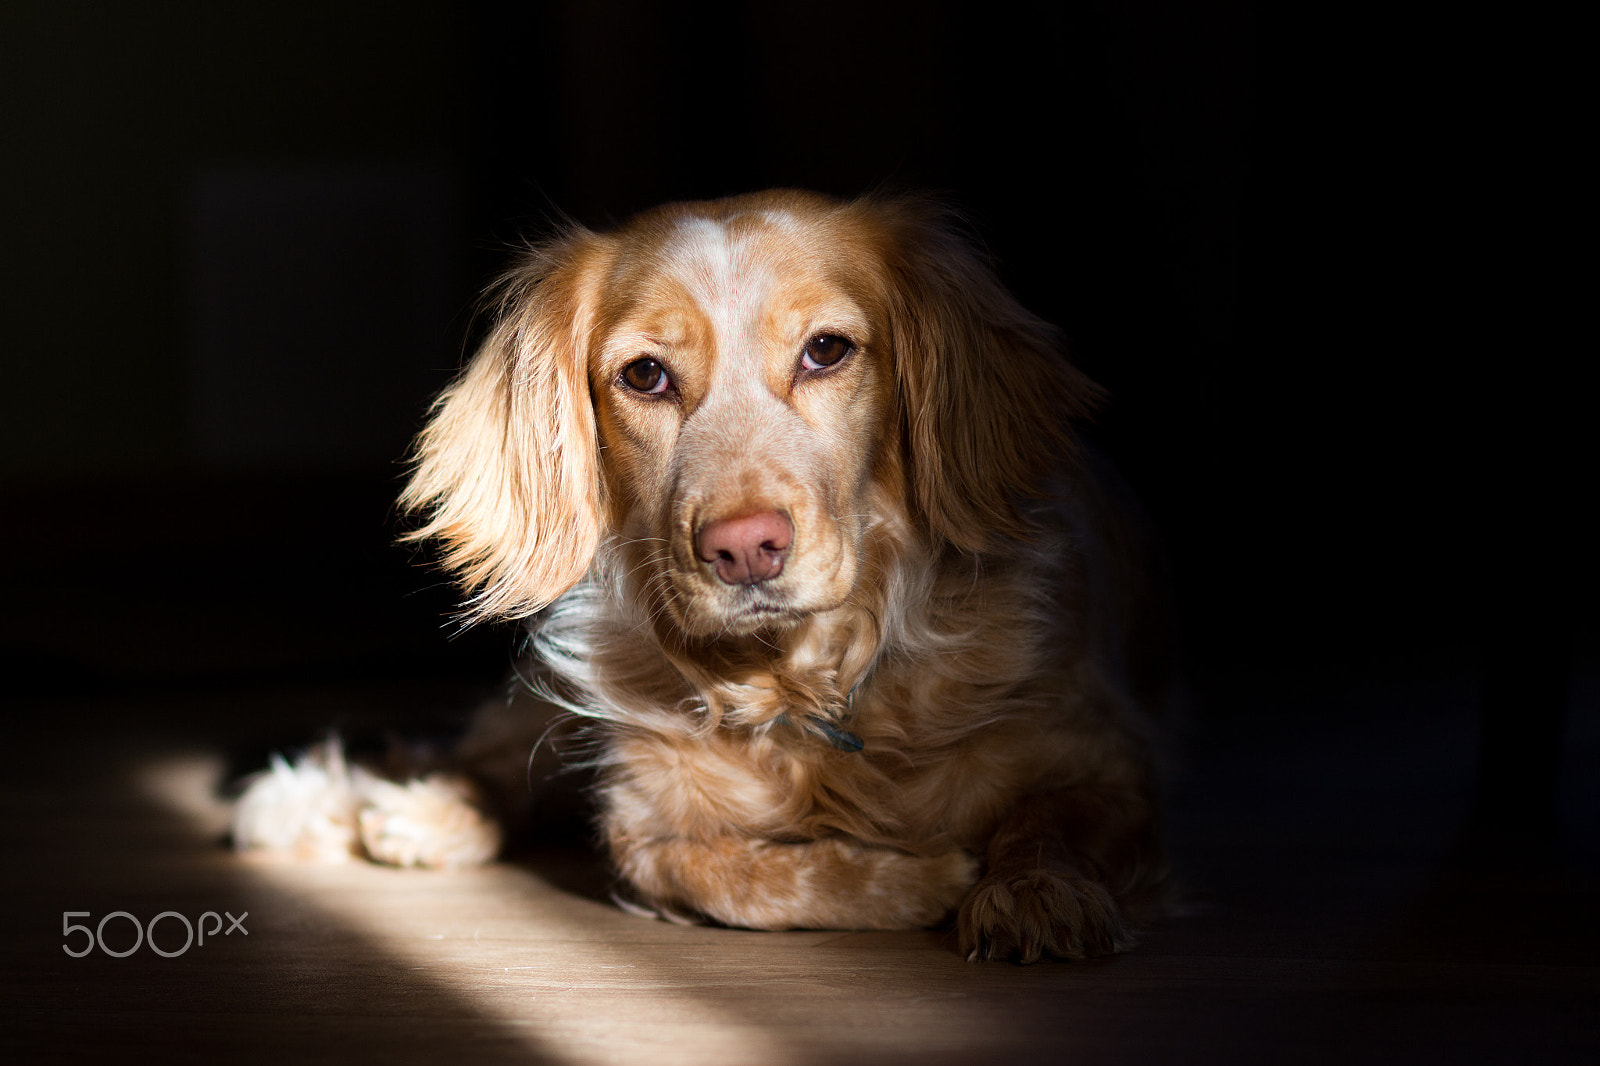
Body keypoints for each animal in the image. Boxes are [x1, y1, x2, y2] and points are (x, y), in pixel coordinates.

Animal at [232, 186, 1171, 960]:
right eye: (645, 374)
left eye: (827, 351)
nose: (745, 547)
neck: (802, 693)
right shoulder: (641, 821)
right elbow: (734, 877)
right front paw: (921, 880)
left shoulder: (1112, 762)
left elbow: (1051, 820)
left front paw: (1034, 892)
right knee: (476, 757)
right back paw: (394, 809)